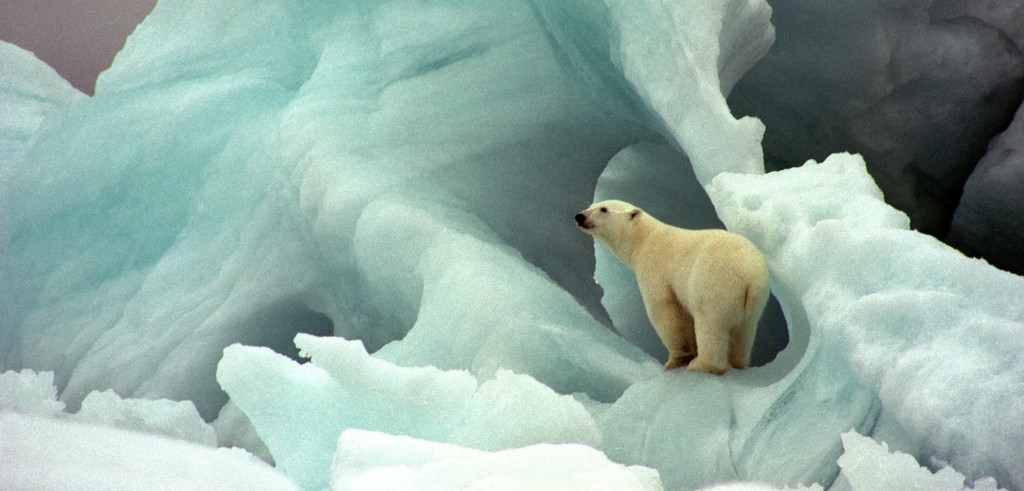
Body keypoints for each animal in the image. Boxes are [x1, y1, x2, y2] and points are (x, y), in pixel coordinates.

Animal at [577, 199, 770, 373]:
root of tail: (749, 274)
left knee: (710, 323)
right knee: (744, 331)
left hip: (714, 283)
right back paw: (738, 363)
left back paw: (701, 365)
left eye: (603, 209)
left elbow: (665, 311)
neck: (644, 239)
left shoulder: (655, 269)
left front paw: (675, 361)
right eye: (591, 205)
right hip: (755, 299)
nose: (580, 216)